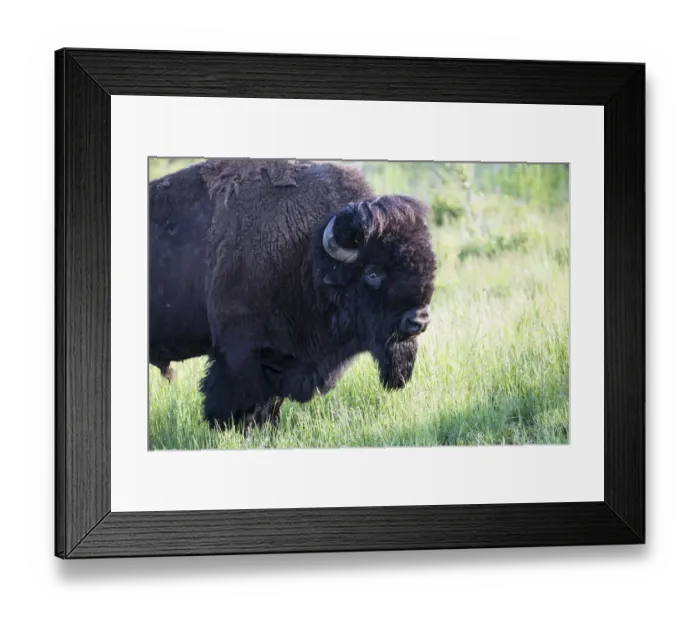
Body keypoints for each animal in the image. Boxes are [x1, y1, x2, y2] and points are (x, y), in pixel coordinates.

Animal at [149, 159, 437, 431]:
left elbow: (270, 406)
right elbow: (240, 404)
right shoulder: (240, 354)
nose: (419, 321)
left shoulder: (281, 361)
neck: (307, 253)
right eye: (373, 273)